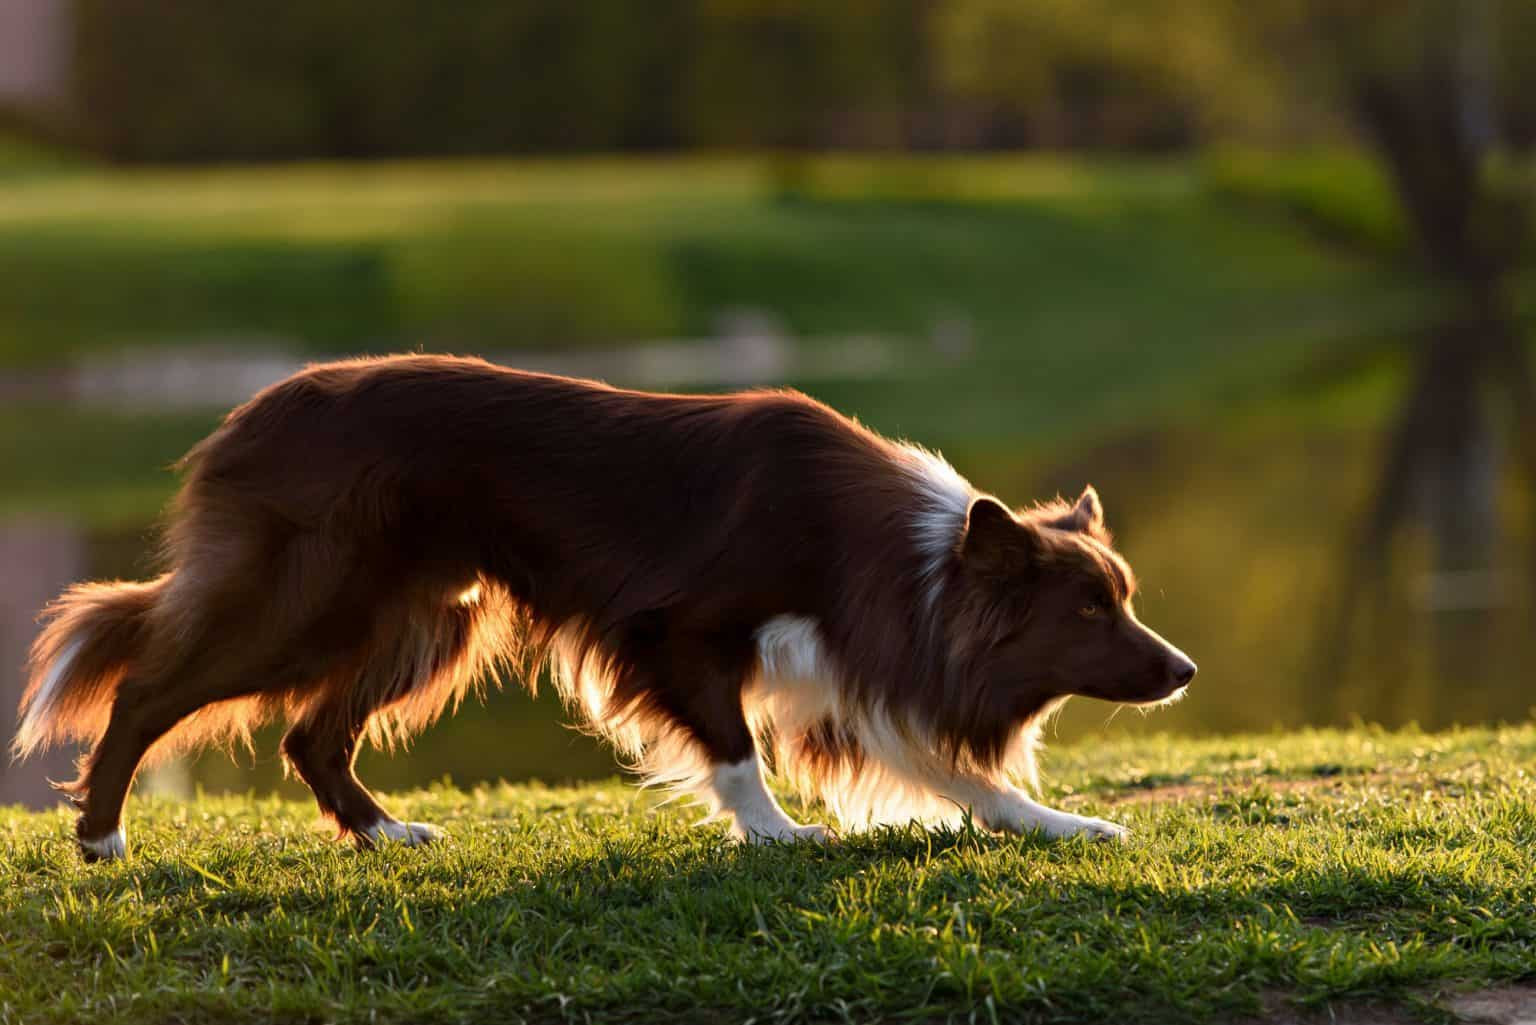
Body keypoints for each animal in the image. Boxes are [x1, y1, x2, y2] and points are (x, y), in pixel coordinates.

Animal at [12, 353, 1191, 860]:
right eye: (1092, 611)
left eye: (1122, 598)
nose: (1183, 670)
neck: (910, 562)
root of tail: (241, 414)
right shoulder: (676, 632)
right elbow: (733, 747)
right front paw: (775, 834)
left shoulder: (860, 662)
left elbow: (959, 771)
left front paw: (1063, 821)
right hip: (310, 607)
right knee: (146, 690)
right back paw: (103, 833)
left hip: (426, 620)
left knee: (311, 735)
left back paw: (386, 832)